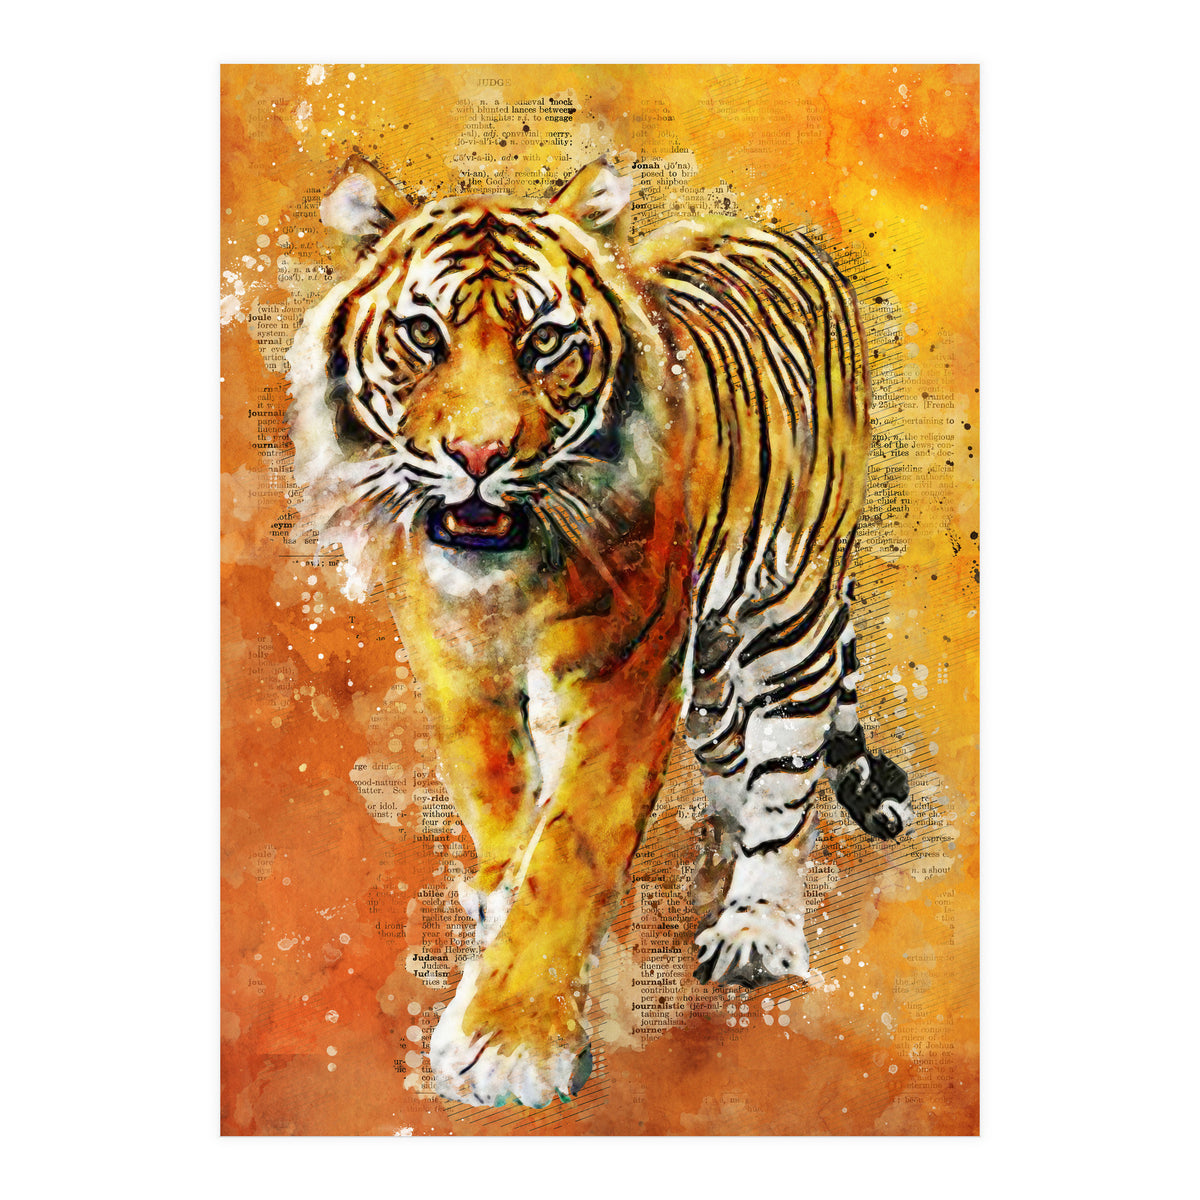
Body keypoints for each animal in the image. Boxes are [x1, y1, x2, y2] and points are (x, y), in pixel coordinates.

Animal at [286, 155, 912, 1109]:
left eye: (546, 342)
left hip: (790, 612)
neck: (506, 582)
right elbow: (497, 791)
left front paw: (510, 1041)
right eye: (424, 334)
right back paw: (718, 848)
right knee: (730, 750)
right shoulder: (452, 655)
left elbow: (573, 849)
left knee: (786, 775)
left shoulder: (623, 676)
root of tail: (775, 229)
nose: (478, 456)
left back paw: (755, 924)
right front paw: (499, 890)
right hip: (714, 657)